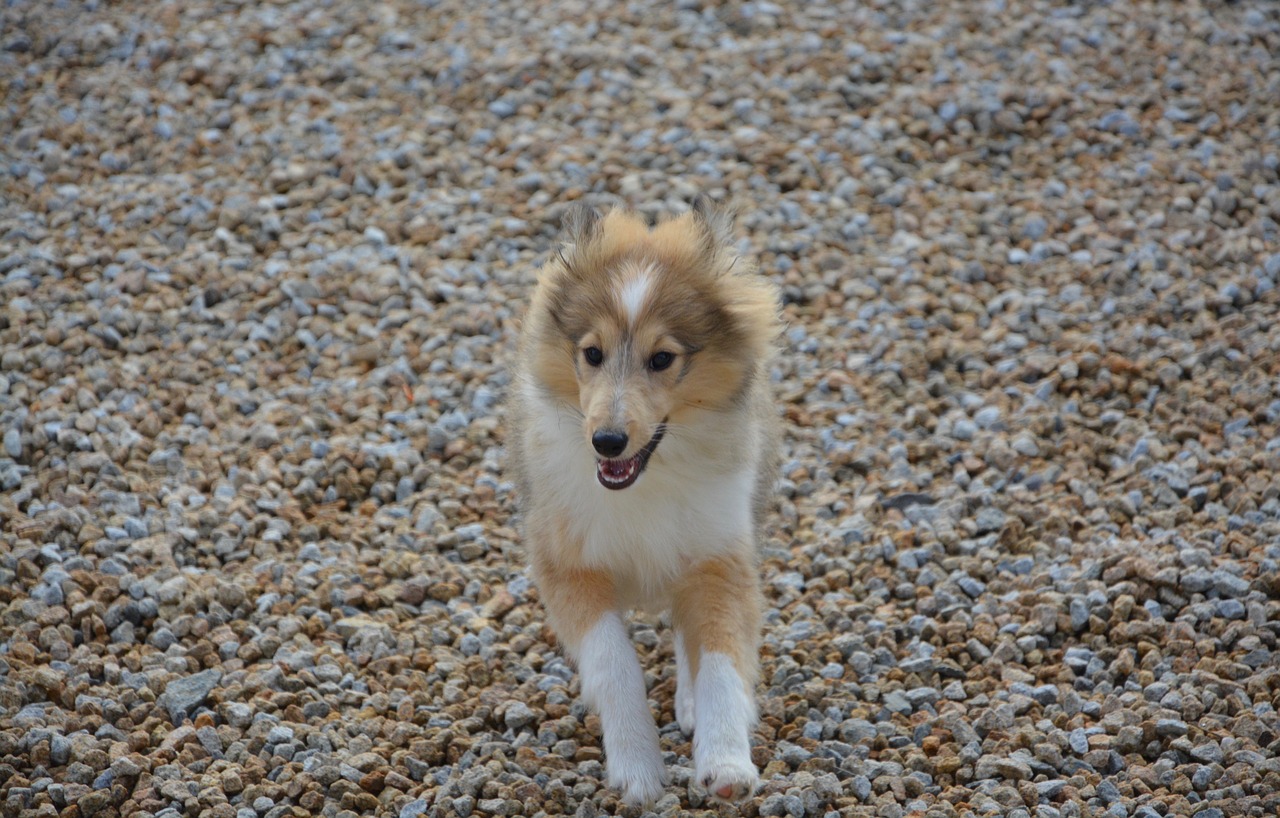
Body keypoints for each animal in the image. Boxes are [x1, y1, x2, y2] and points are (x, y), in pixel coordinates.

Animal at [506, 199, 778, 809]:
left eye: (661, 359)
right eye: (591, 353)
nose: (607, 442)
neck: (642, 483)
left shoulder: (720, 555)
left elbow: (723, 657)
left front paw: (726, 764)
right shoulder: (568, 564)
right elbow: (614, 664)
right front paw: (639, 772)